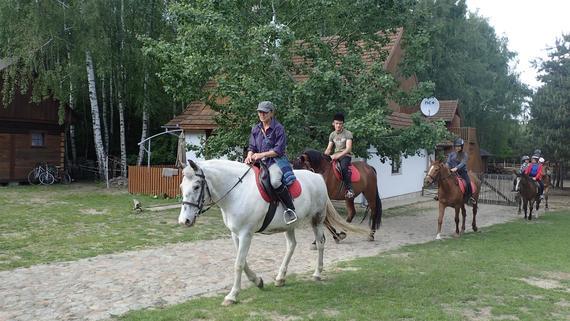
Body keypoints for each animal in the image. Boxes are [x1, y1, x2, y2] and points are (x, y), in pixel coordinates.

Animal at [178, 159, 364, 304]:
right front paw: (257, 281)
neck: (237, 192)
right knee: (291, 246)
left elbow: (238, 264)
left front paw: (232, 295)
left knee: (320, 243)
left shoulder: (246, 234)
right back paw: (281, 278)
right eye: (181, 186)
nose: (184, 221)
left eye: (196, 186)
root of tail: (317, 177)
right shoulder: (236, 234)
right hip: (289, 226)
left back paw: (317, 273)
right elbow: (242, 261)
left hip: (317, 220)